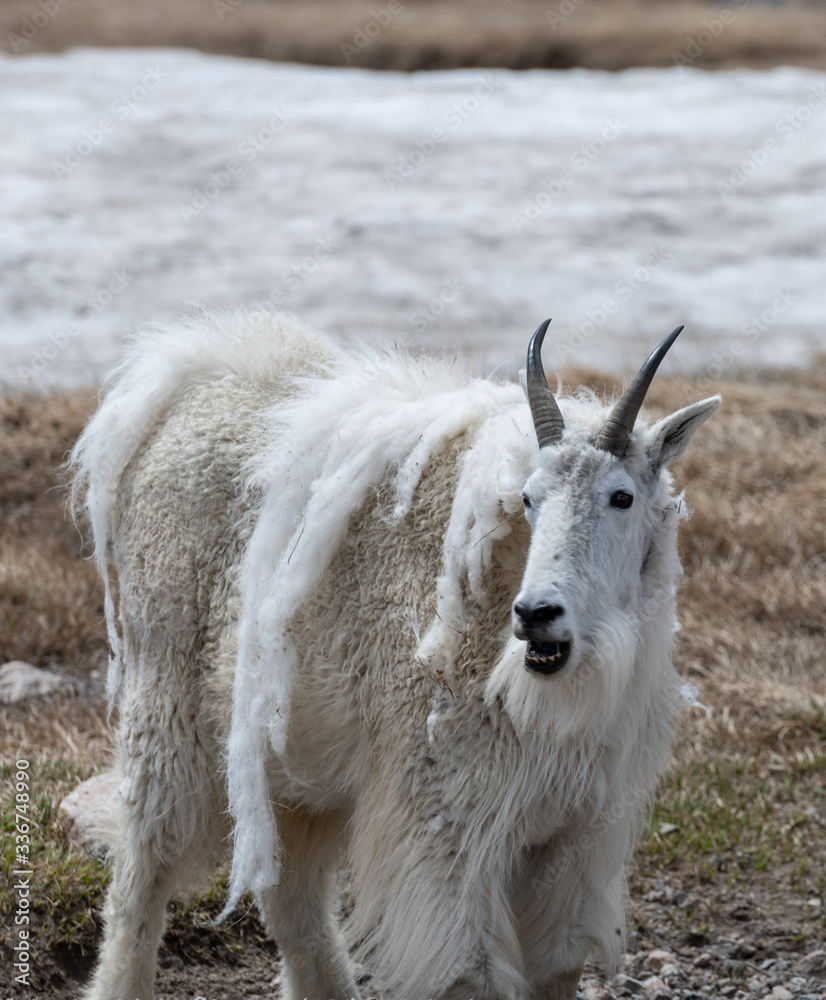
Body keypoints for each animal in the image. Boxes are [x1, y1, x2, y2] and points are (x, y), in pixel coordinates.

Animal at [71, 309, 719, 1000]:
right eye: (528, 498)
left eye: (621, 497)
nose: (537, 616)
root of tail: (172, 391)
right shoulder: (444, 814)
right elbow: (472, 974)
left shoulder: (571, 832)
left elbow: (557, 966)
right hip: (166, 702)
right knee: (142, 872)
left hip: (296, 756)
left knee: (292, 894)